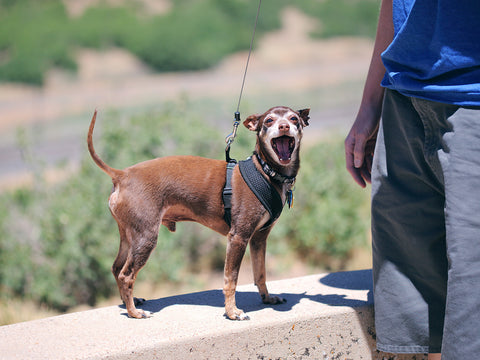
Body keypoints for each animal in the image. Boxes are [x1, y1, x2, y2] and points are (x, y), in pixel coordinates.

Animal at [87, 105, 310, 320]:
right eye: (269, 120)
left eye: (294, 119)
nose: (284, 126)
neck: (266, 172)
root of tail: (122, 175)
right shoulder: (238, 237)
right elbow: (231, 279)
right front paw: (232, 312)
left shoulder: (258, 238)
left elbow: (260, 273)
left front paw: (267, 298)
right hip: (145, 237)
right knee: (126, 275)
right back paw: (134, 312)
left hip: (129, 235)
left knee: (117, 268)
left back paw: (129, 302)